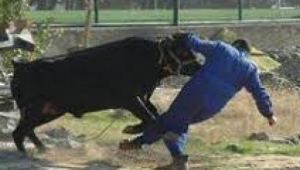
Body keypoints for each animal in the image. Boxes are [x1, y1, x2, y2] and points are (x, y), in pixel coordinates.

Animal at [9, 34, 202, 153]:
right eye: (183, 51)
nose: (199, 66)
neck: (149, 59)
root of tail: (20, 66)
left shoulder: (143, 98)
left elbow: (153, 115)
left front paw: (132, 128)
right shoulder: (130, 100)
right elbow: (151, 119)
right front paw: (133, 129)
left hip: (50, 111)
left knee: (26, 131)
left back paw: (42, 149)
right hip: (34, 109)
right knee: (19, 132)